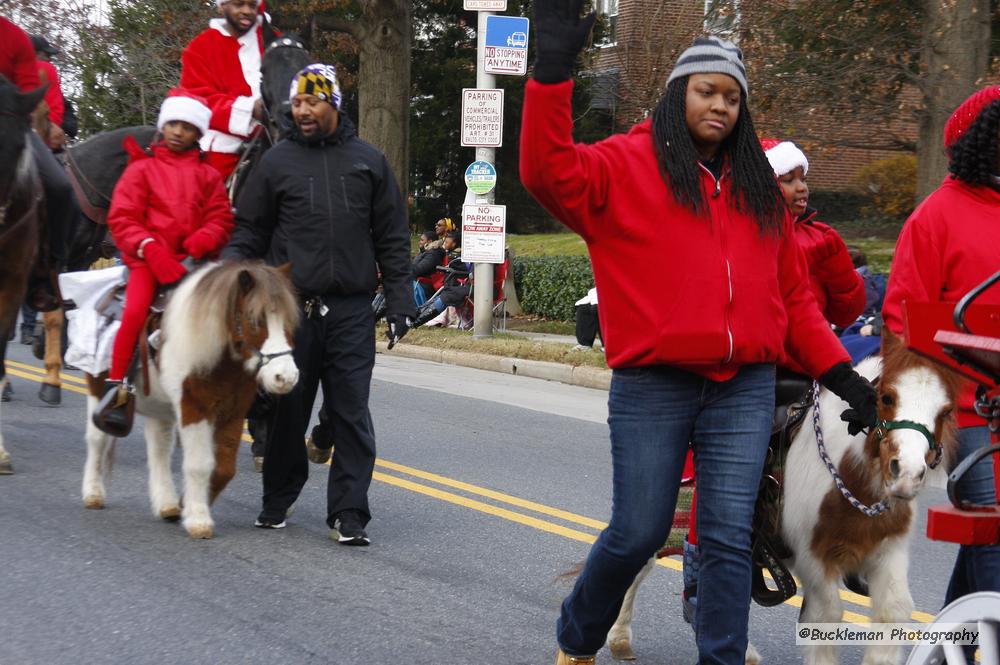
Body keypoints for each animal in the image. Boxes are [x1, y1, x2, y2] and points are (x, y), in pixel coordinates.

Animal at [80, 262, 298, 536]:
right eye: (254, 320)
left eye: (288, 321)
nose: (285, 377)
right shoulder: (194, 407)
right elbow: (199, 464)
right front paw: (198, 519)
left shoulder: (234, 413)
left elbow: (224, 468)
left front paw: (188, 505)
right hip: (97, 386)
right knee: (97, 439)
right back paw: (93, 493)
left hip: (159, 405)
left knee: (159, 448)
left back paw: (167, 504)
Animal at [608, 330, 960, 664]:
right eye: (887, 397)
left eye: (947, 410)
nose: (907, 473)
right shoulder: (814, 559)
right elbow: (827, 616)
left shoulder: (888, 551)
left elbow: (893, 611)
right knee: (638, 566)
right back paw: (620, 637)